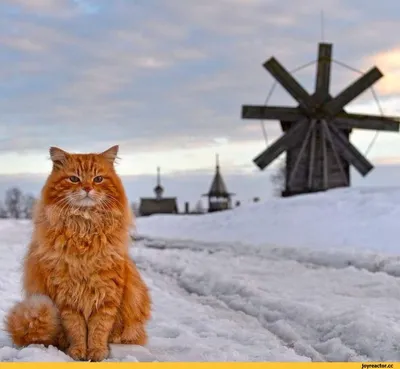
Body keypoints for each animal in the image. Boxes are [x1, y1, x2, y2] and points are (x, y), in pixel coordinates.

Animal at [4, 145, 152, 360]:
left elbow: (99, 328)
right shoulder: (66, 296)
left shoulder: (107, 292)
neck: (84, 228)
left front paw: (97, 353)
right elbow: (76, 329)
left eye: (98, 179)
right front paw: (78, 353)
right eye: (74, 179)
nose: (88, 188)